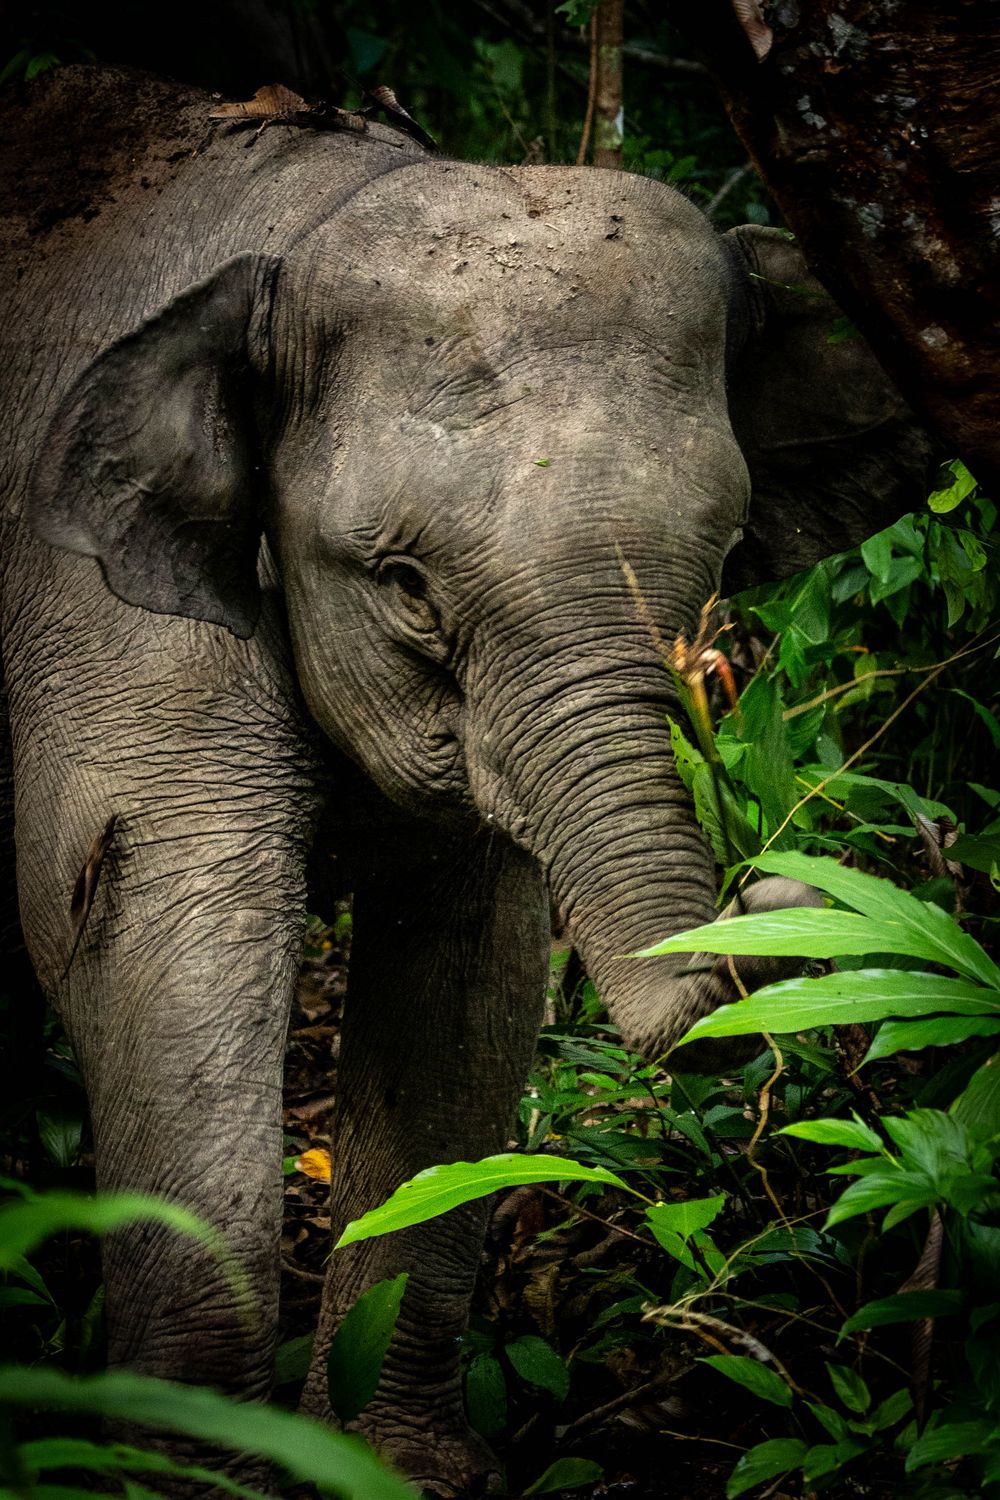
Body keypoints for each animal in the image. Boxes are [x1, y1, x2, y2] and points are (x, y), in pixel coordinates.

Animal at [0, 64, 933, 1495]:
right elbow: (151, 925)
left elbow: (468, 977)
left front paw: (395, 1468)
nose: (781, 901)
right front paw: (197, 1467)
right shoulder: (103, 633)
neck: (314, 216)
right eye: (405, 587)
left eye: (727, 554)